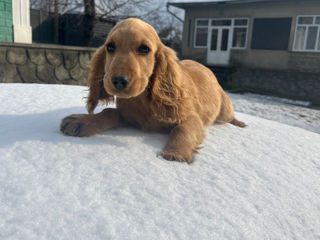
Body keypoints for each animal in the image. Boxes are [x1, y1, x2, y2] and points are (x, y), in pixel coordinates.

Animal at [60, 17, 245, 163]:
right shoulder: (127, 116)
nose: (119, 80)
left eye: (144, 49)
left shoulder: (191, 117)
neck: (142, 100)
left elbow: (182, 129)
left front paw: (176, 152)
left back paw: (240, 123)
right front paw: (82, 121)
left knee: (230, 116)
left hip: (224, 110)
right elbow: (109, 112)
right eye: (110, 47)